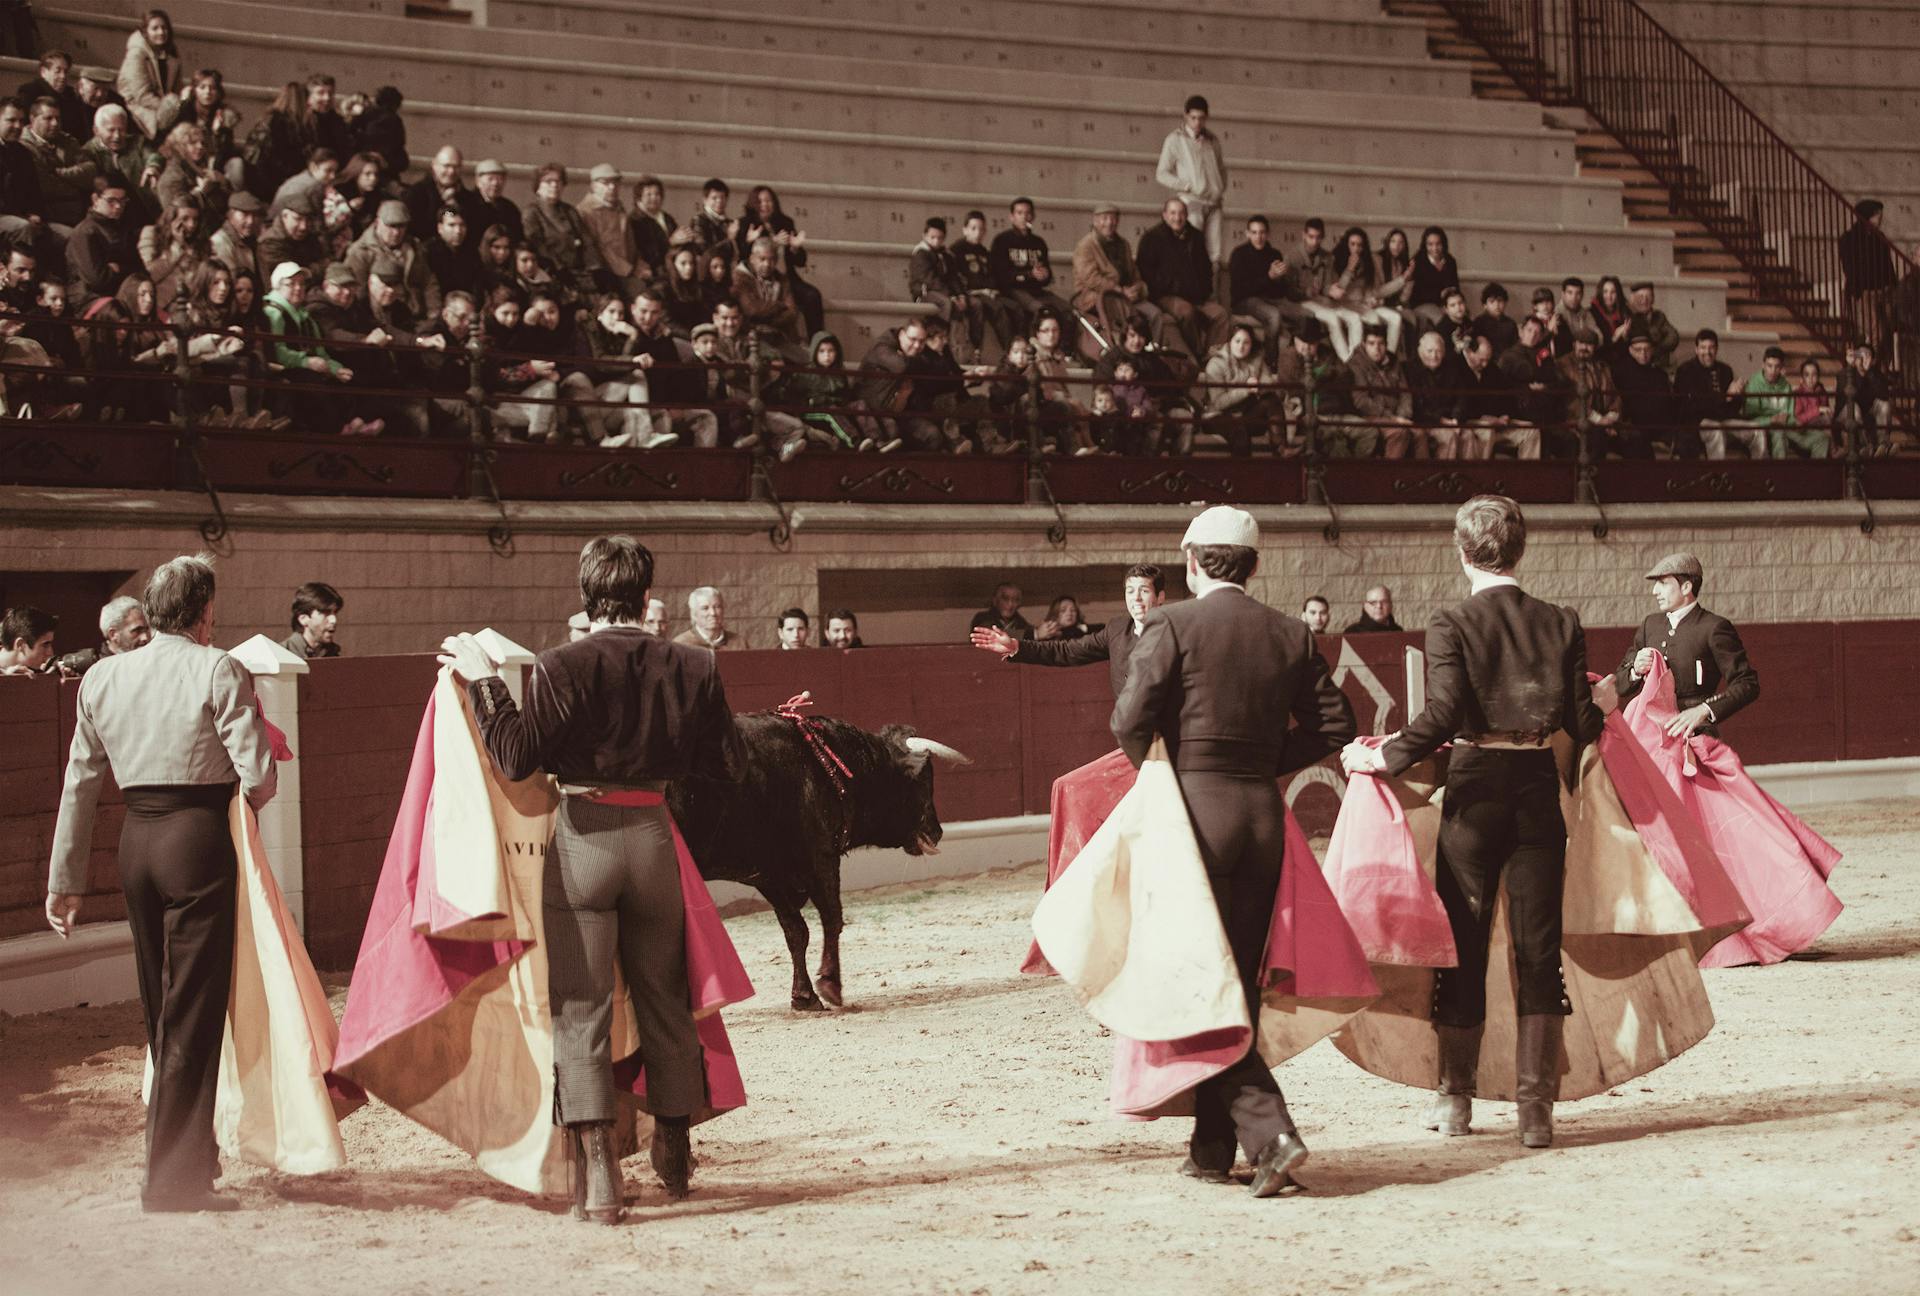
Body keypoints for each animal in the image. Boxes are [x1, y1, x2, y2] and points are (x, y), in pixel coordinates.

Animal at [675, 710, 975, 1013]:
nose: (937, 832)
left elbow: (796, 931)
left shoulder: (770, 875)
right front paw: (831, 986)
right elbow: (832, 918)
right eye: (923, 782)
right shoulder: (821, 859)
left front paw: (804, 997)